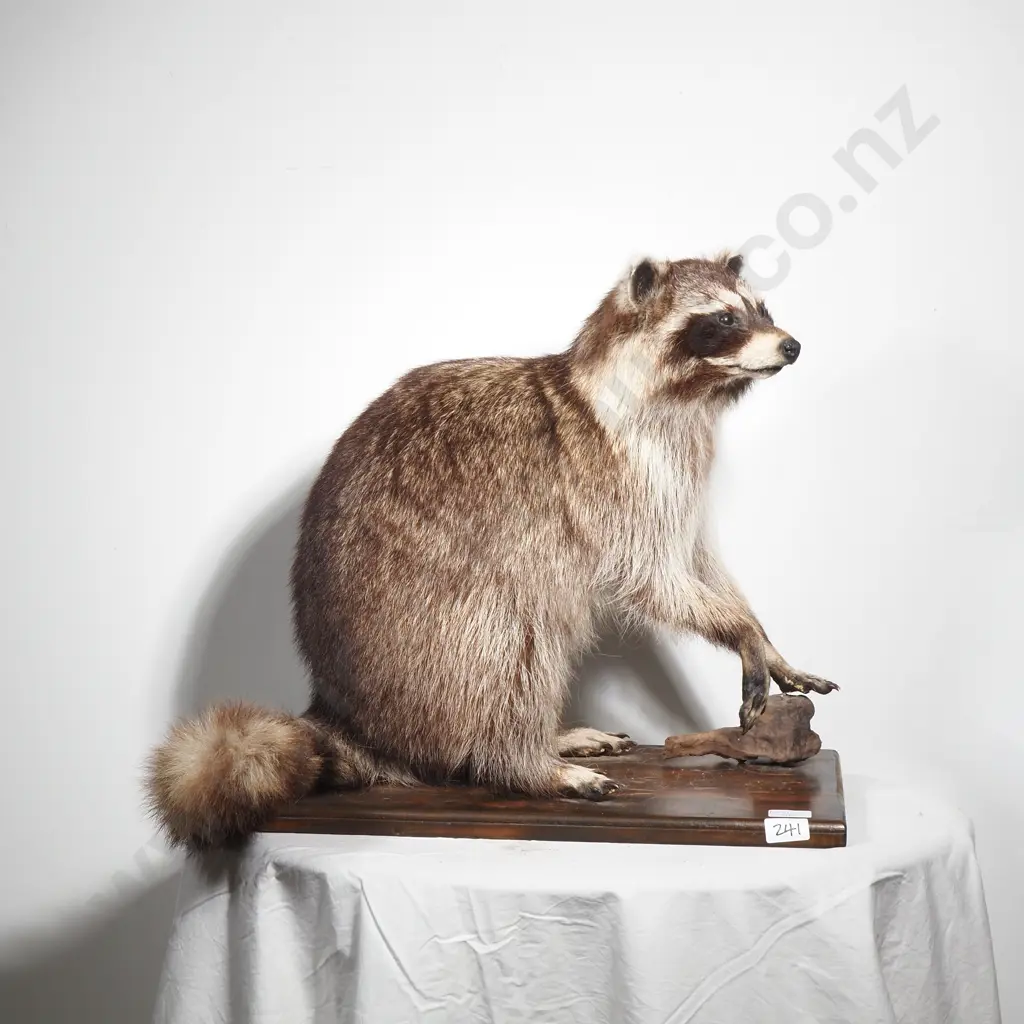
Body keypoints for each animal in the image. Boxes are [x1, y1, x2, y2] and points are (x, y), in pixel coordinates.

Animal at [146, 253, 836, 849]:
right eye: (722, 319)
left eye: (762, 307)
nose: (792, 345)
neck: (684, 402)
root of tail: (346, 716)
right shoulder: (607, 480)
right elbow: (648, 575)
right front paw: (738, 629)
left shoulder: (676, 480)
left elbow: (695, 560)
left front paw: (763, 636)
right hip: (430, 629)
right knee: (513, 641)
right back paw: (527, 762)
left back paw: (553, 740)